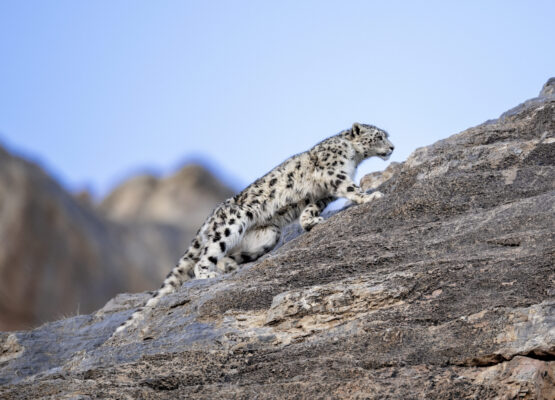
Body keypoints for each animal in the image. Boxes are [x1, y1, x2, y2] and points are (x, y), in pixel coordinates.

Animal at [115, 123, 396, 336]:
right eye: (380, 135)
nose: (393, 147)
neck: (353, 157)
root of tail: (211, 216)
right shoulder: (334, 174)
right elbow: (351, 188)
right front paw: (371, 196)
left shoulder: (323, 194)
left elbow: (311, 208)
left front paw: (310, 222)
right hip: (232, 224)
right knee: (206, 255)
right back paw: (209, 273)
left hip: (269, 235)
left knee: (230, 254)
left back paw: (229, 266)